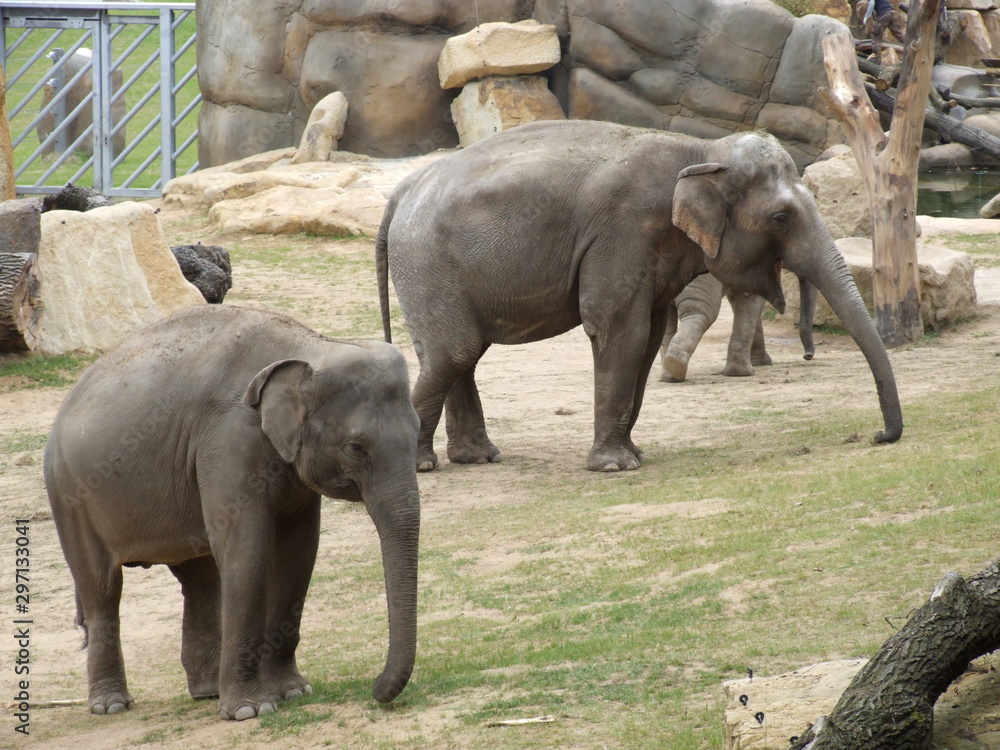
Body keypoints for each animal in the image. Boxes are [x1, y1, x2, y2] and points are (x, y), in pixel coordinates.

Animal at [43, 305, 420, 719]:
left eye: (419, 432)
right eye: (356, 448)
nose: (375, 689)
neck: (311, 346)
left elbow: (298, 552)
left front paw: (293, 692)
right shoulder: (228, 440)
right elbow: (248, 550)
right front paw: (249, 711)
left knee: (200, 579)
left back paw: (207, 691)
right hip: (68, 495)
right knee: (102, 586)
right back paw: (111, 706)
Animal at [659, 272, 819, 382]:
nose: (807, 356)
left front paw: (760, 363)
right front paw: (743, 372)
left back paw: (670, 374)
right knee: (700, 314)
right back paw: (675, 366)